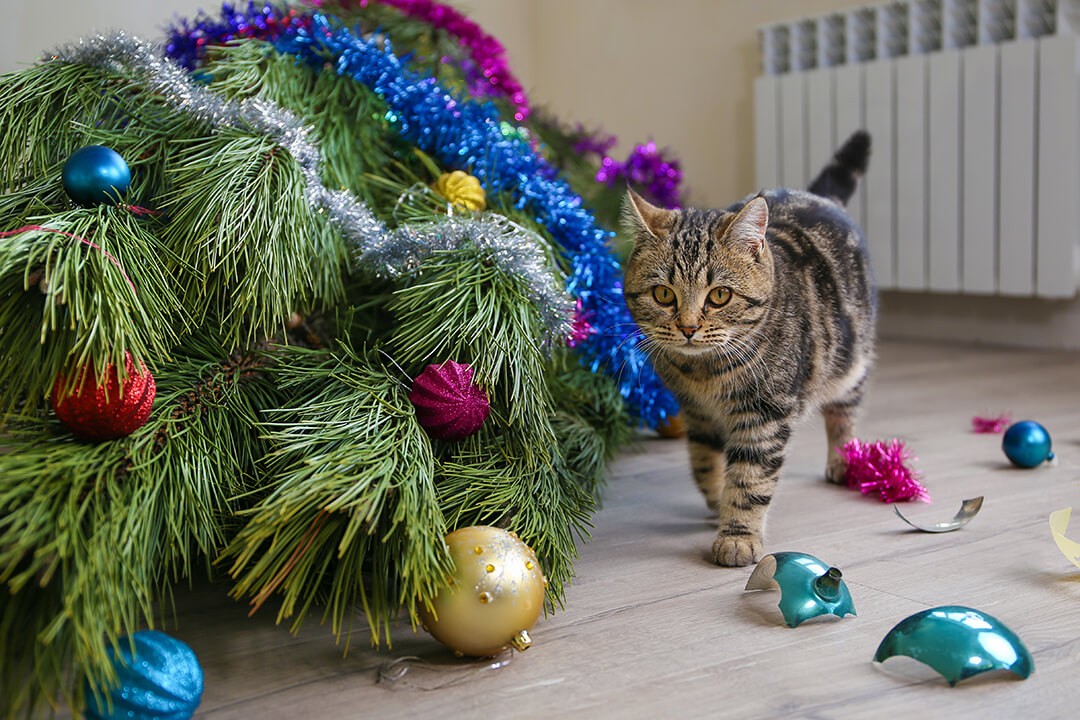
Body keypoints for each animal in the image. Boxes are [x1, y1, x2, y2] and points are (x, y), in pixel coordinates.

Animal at [626, 132, 876, 565]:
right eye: (663, 294)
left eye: (720, 295)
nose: (688, 328)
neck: (703, 373)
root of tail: (816, 195)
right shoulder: (696, 412)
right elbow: (704, 460)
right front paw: (716, 500)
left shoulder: (766, 415)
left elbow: (750, 478)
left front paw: (738, 535)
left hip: (851, 358)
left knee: (844, 412)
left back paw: (844, 459)